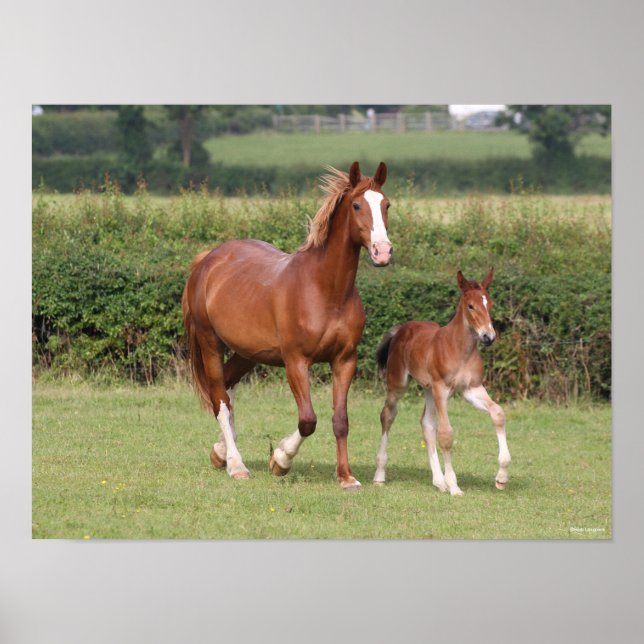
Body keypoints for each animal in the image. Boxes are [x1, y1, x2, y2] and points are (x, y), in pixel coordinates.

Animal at [182, 161, 393, 490]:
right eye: (357, 205)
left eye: (386, 205)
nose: (382, 252)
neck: (325, 290)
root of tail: (207, 260)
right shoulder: (296, 361)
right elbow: (308, 420)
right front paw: (280, 460)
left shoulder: (345, 360)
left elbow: (340, 421)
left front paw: (346, 477)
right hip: (209, 343)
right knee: (219, 398)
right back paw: (236, 465)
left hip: (248, 352)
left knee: (228, 388)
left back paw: (220, 453)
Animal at [373, 268, 510, 495]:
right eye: (470, 305)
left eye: (489, 303)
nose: (488, 337)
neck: (460, 349)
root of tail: (401, 329)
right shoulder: (442, 389)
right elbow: (446, 434)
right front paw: (454, 485)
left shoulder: (471, 388)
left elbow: (498, 413)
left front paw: (501, 476)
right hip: (399, 384)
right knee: (387, 415)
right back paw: (380, 474)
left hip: (428, 389)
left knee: (427, 424)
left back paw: (439, 481)